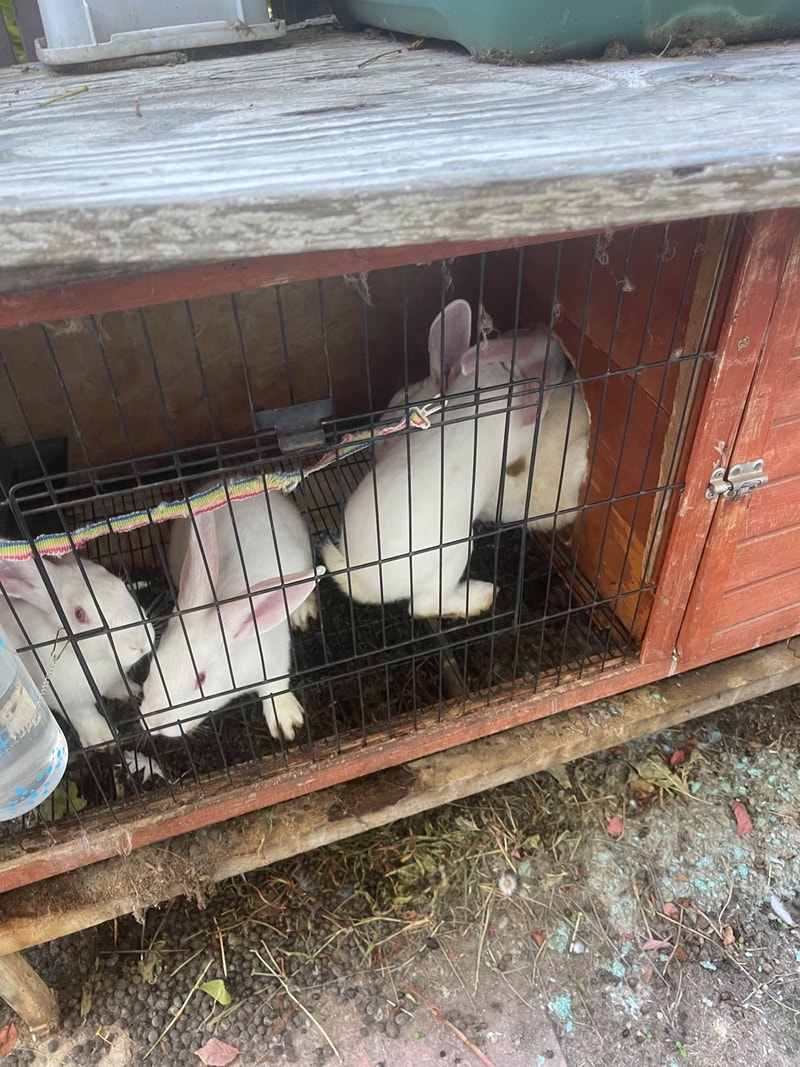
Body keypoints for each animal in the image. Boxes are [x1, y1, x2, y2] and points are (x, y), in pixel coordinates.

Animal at [0, 554, 155, 748]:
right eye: (79, 615)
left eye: (125, 586)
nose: (141, 643)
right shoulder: (66, 699)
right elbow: (83, 714)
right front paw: (103, 737)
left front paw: (130, 690)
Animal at [139, 487, 320, 742]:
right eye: (156, 662)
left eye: (201, 678)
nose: (152, 723)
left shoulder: (274, 660)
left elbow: (274, 687)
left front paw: (286, 720)